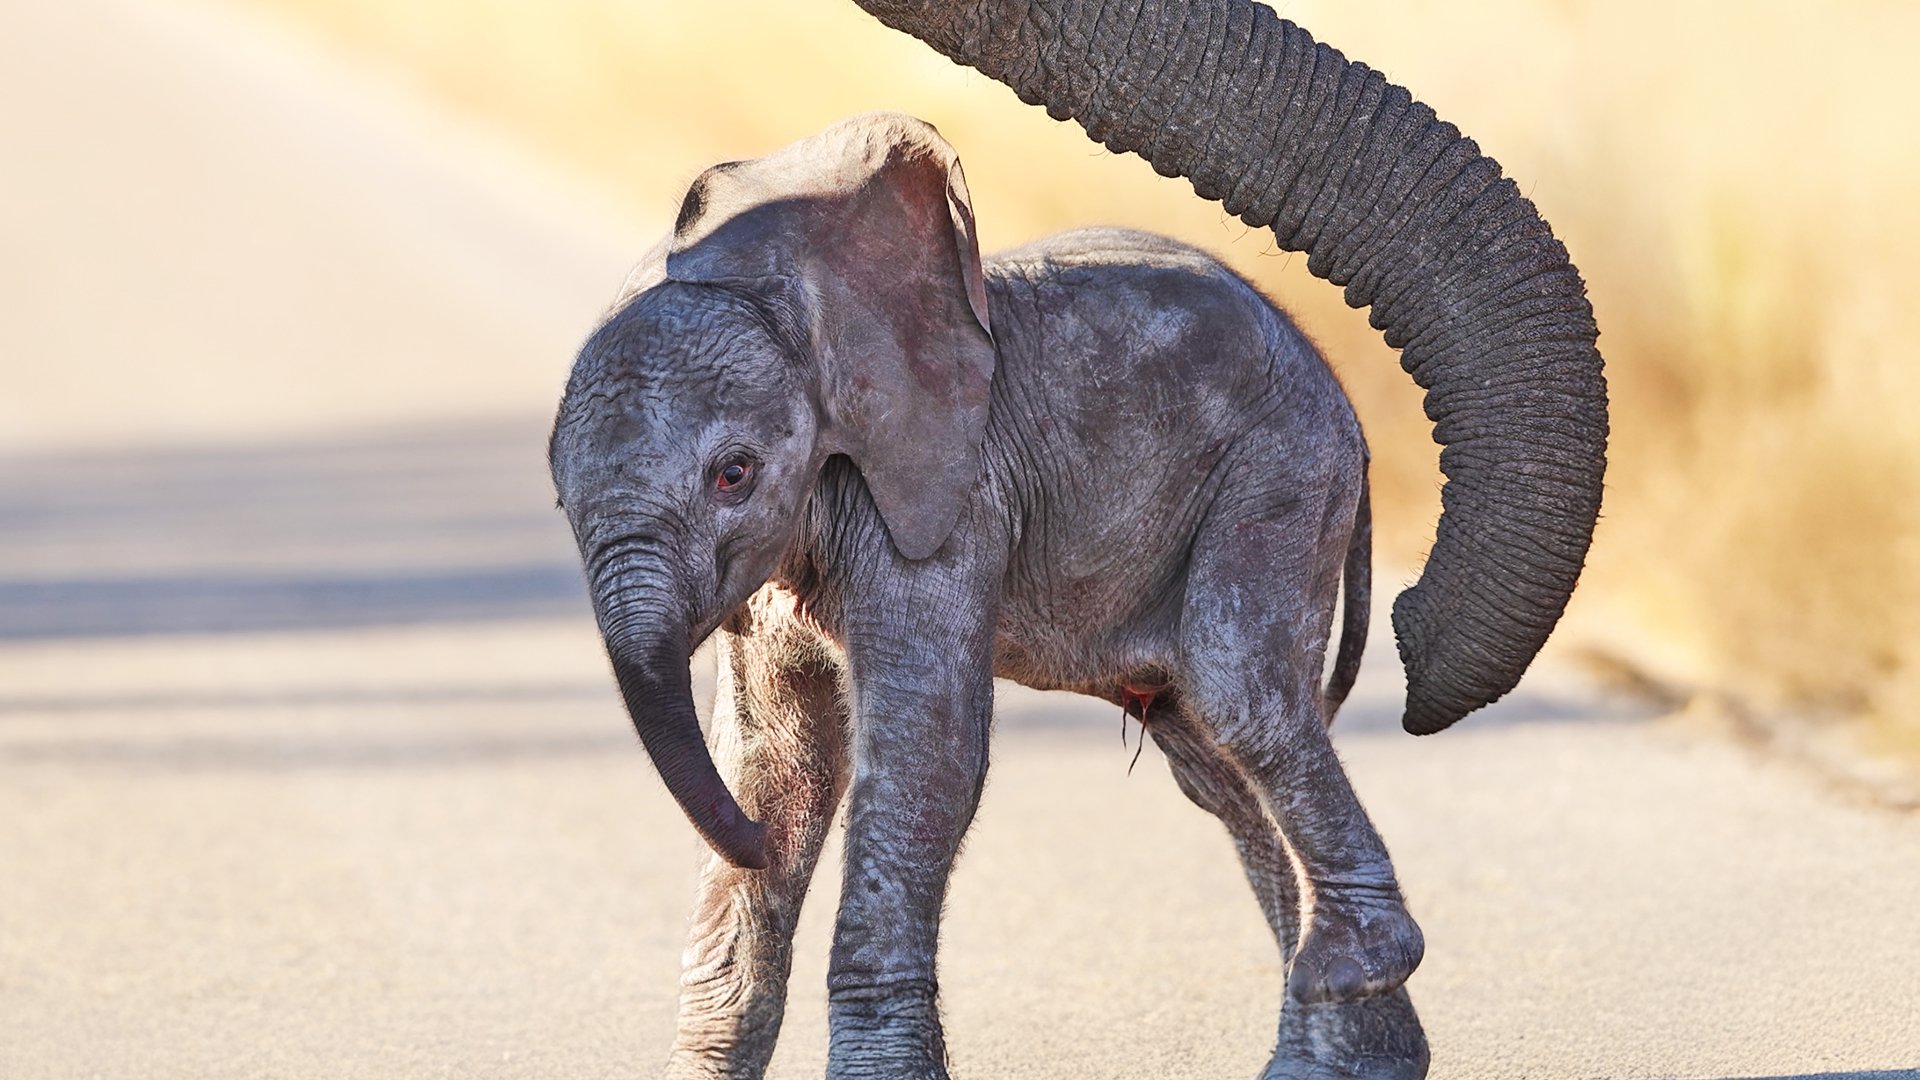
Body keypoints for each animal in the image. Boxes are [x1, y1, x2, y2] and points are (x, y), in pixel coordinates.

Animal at [550, 4, 1607, 1078]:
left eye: (734, 473)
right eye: (558, 500)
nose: (746, 845)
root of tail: (1343, 401)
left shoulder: (953, 499)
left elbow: (925, 752)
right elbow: (783, 761)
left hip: (1279, 478)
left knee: (1240, 692)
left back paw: (1351, 980)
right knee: (1217, 766)